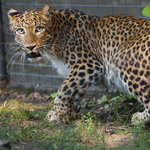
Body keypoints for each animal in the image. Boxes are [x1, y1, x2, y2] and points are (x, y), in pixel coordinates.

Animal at [7, 3, 150, 125]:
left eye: (39, 29)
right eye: (20, 31)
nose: (30, 47)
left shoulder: (88, 65)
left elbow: (64, 89)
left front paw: (59, 112)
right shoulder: (80, 72)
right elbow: (74, 91)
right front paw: (66, 114)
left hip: (125, 62)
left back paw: (140, 118)